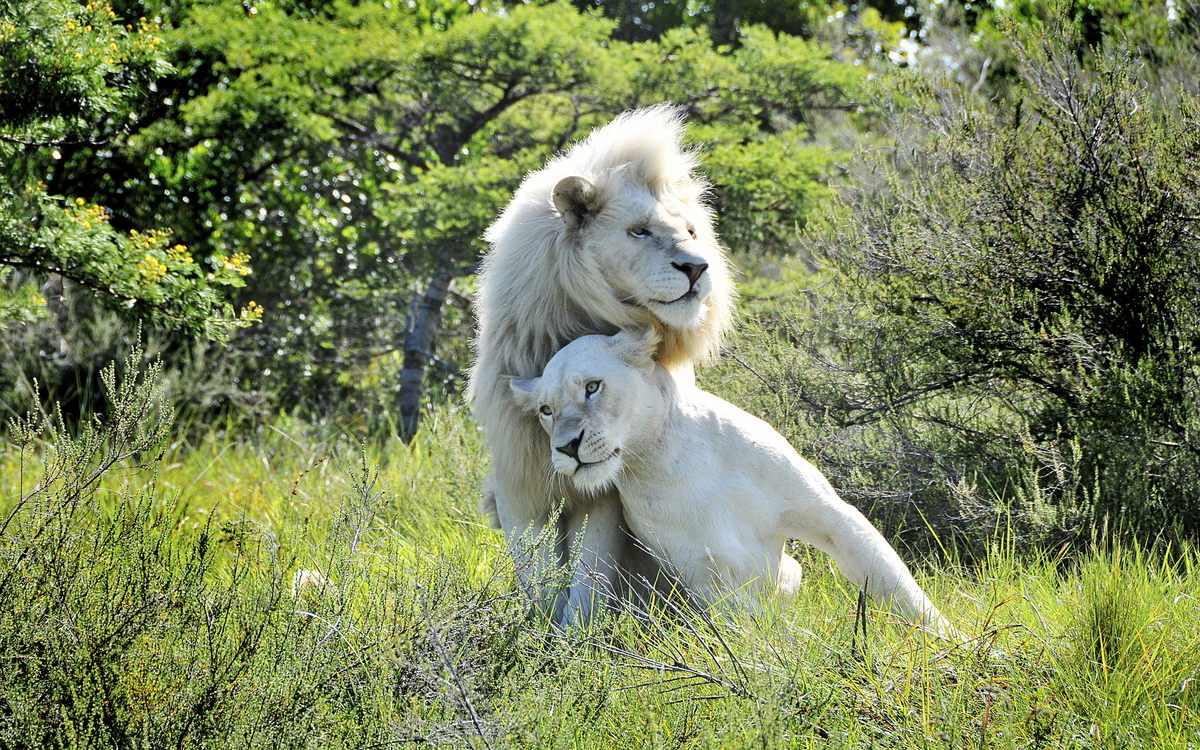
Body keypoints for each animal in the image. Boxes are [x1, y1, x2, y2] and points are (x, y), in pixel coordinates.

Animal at [467, 105, 735, 626]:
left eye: (692, 232)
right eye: (640, 230)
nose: (697, 268)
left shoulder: (606, 487)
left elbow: (590, 574)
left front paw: (575, 637)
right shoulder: (518, 477)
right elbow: (537, 575)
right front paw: (537, 633)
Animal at [509, 329, 959, 637]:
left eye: (592, 387)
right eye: (546, 410)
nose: (566, 447)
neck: (669, 458)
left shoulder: (831, 516)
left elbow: (896, 585)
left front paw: (958, 646)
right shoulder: (702, 575)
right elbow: (755, 625)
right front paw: (808, 646)